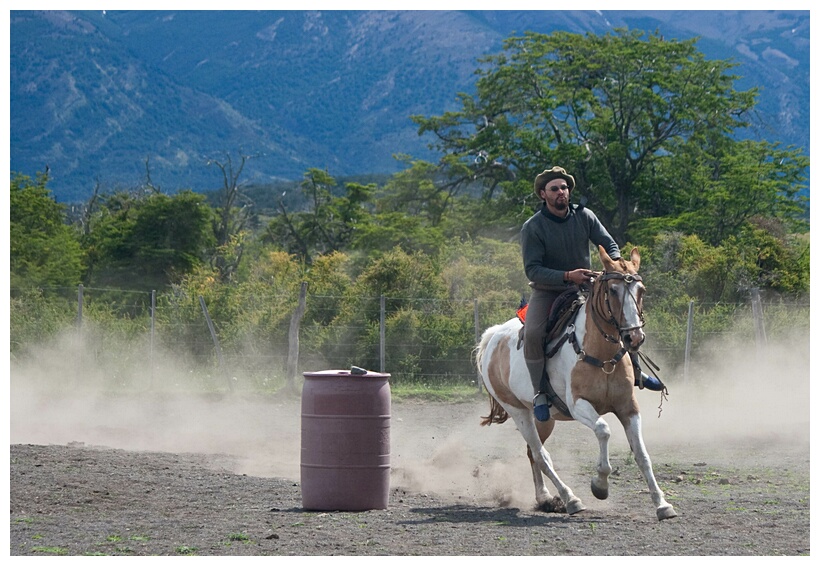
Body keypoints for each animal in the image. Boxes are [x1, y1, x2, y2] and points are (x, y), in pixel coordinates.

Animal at [474, 247, 680, 524]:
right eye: (612, 290)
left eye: (641, 290)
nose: (634, 337)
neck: (601, 355)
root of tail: (492, 336)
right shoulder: (579, 406)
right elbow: (603, 430)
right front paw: (600, 485)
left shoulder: (628, 408)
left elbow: (642, 454)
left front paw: (662, 504)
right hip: (519, 413)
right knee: (541, 455)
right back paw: (570, 499)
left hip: (544, 419)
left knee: (532, 453)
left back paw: (545, 498)